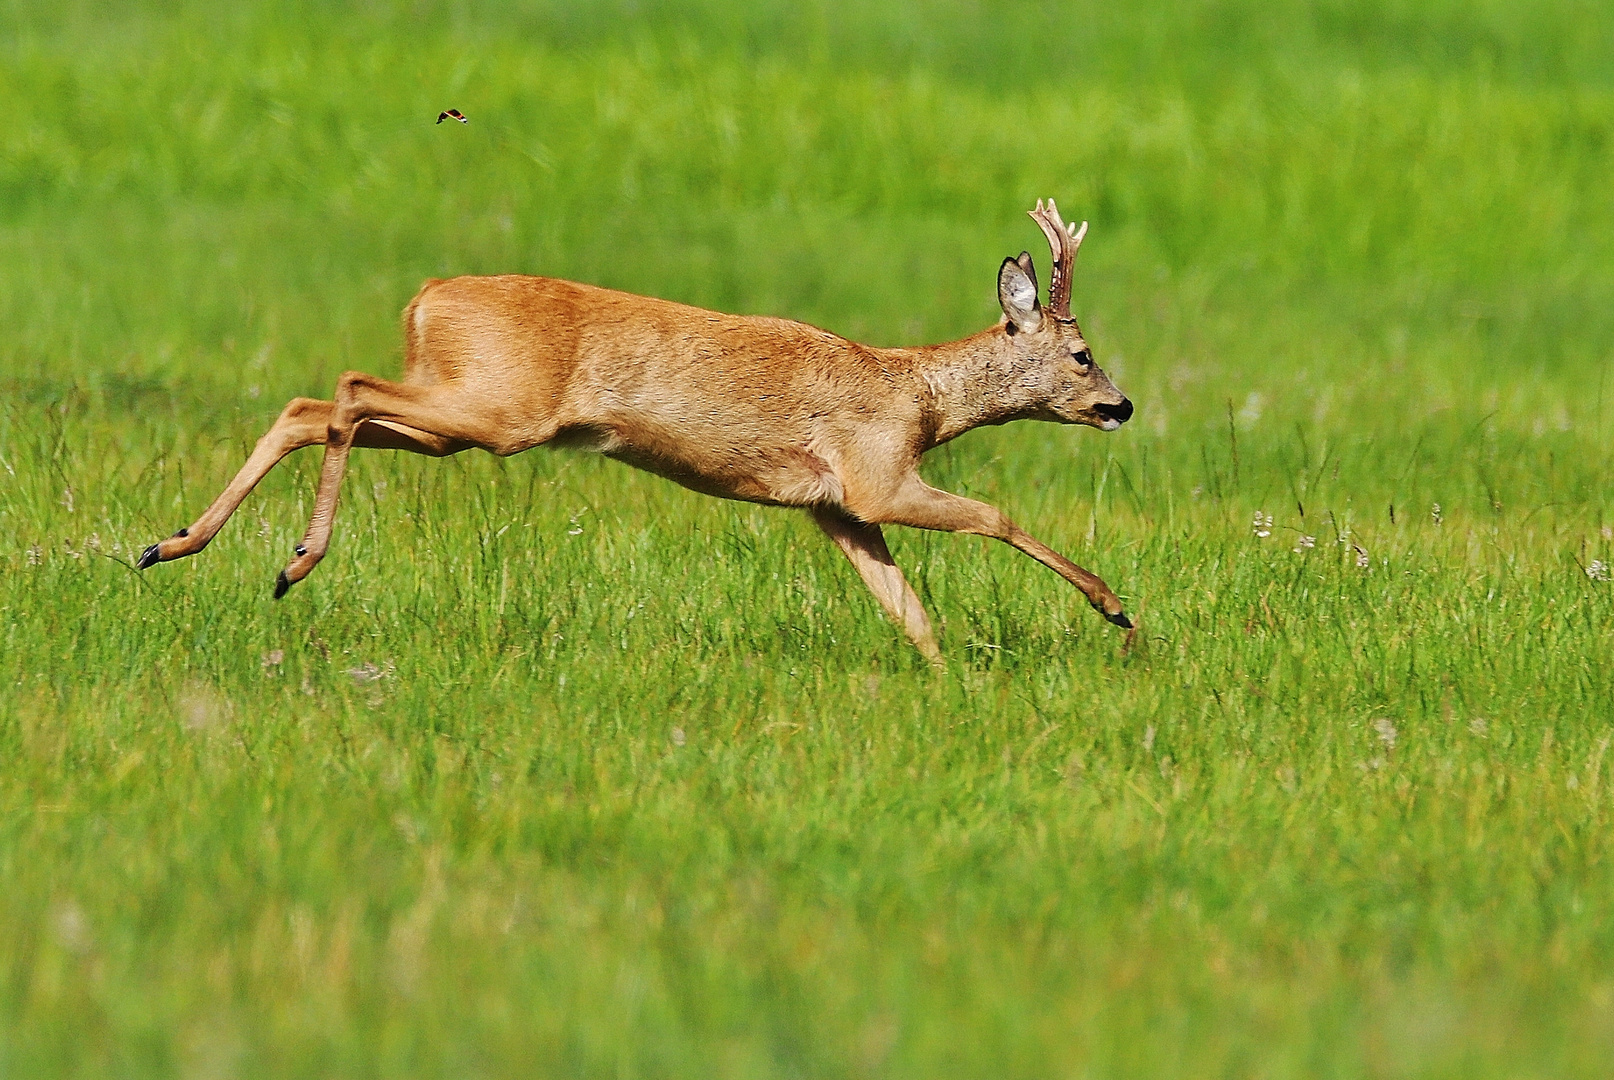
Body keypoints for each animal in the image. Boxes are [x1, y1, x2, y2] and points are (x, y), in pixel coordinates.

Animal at [145, 197, 1142, 661]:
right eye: (1084, 354)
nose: (1123, 406)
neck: (919, 397)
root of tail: (425, 298)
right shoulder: (877, 476)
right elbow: (995, 518)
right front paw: (1118, 611)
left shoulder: (837, 508)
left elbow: (908, 609)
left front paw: (950, 677)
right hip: (497, 409)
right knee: (344, 391)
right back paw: (290, 561)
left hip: (459, 413)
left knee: (311, 408)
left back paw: (177, 545)